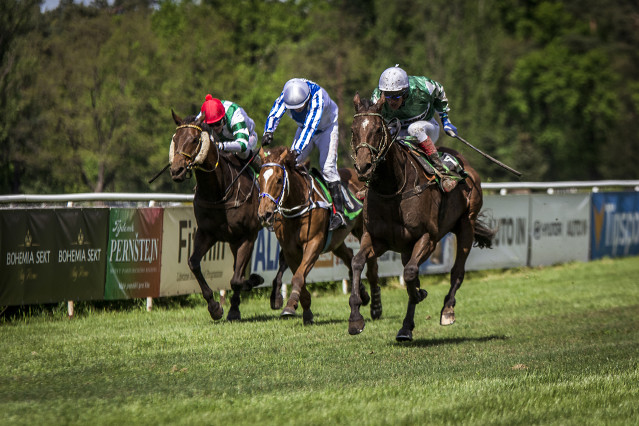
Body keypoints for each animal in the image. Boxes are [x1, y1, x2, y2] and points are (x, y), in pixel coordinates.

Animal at [171, 111, 288, 322]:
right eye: (175, 139)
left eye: (194, 140)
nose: (176, 170)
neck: (219, 192)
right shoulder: (207, 233)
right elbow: (194, 264)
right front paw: (215, 307)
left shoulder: (248, 236)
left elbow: (236, 278)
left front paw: (253, 281)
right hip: (233, 241)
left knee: (283, 259)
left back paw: (275, 296)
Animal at [258, 145, 382, 324]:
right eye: (259, 180)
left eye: (279, 180)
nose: (264, 214)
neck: (299, 207)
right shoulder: (290, 250)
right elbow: (299, 275)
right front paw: (305, 310)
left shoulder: (314, 242)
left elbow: (298, 276)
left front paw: (290, 305)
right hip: (336, 240)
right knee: (348, 255)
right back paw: (363, 294)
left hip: (363, 230)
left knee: (371, 267)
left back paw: (376, 306)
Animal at [350, 95, 496, 342]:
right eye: (353, 129)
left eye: (378, 129)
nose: (363, 166)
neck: (393, 188)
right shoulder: (376, 238)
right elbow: (358, 262)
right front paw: (355, 318)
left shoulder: (428, 238)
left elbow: (410, 274)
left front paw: (420, 294)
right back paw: (406, 328)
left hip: (466, 224)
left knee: (457, 271)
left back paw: (447, 310)